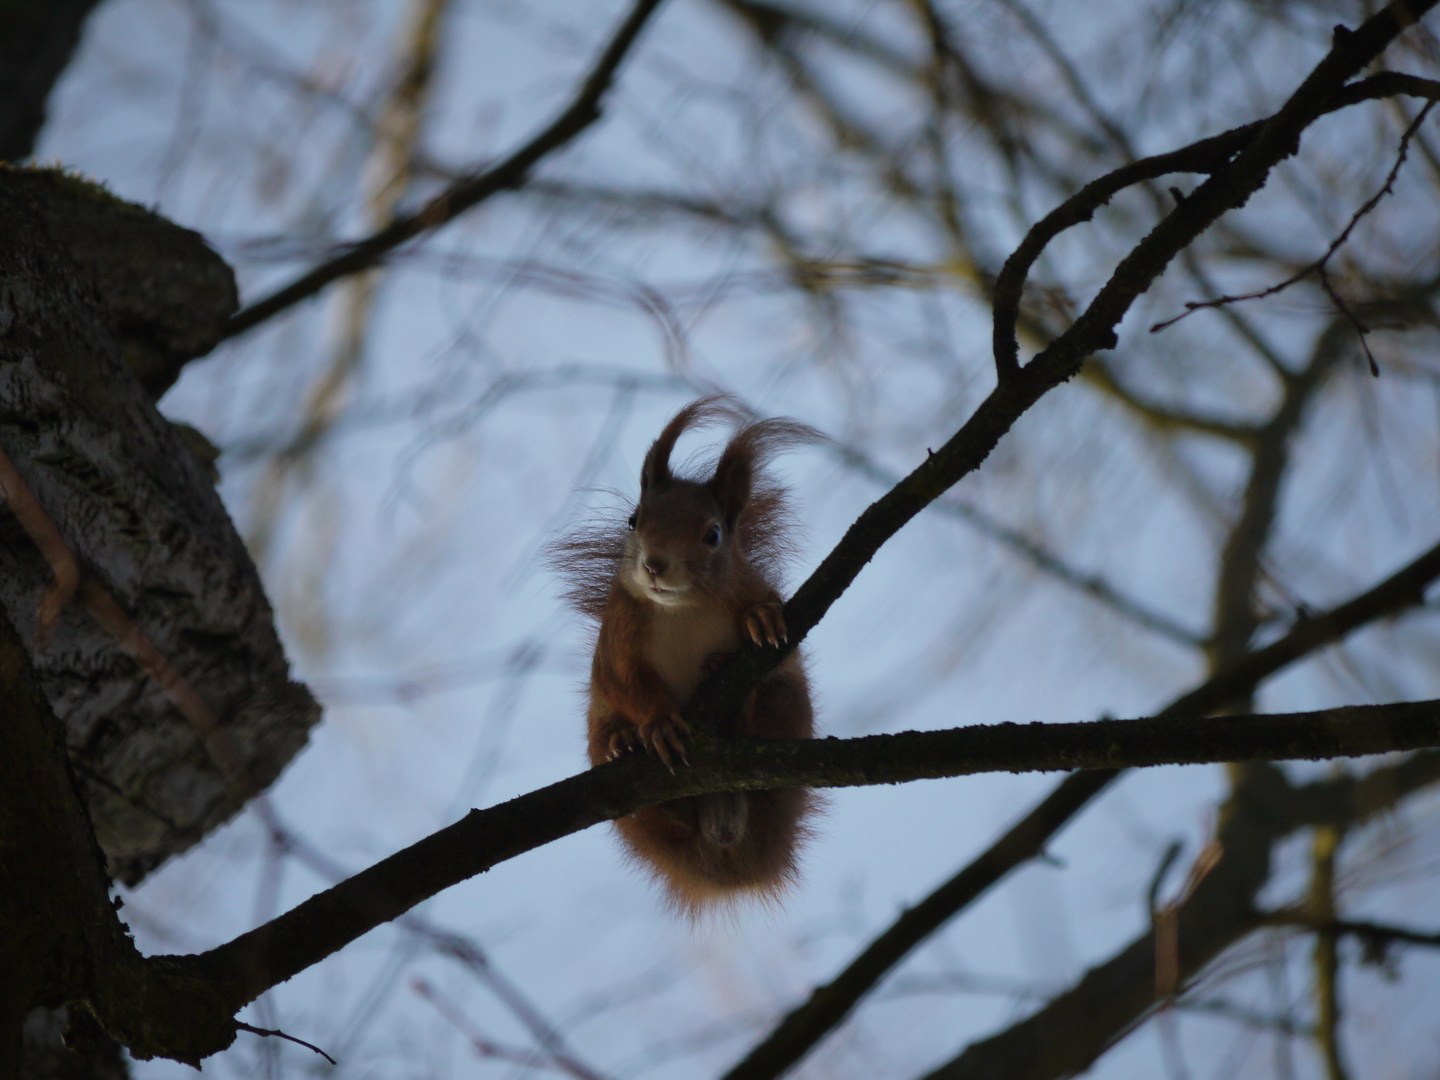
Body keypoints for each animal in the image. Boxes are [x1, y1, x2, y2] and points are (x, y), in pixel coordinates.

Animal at [552, 397, 823, 915]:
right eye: (633, 520)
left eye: (713, 535)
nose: (654, 566)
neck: (682, 608)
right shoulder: (617, 635)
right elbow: (621, 682)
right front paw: (657, 723)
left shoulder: (751, 587)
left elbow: (779, 634)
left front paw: (760, 618)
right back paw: (625, 743)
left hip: (787, 714)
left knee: (769, 718)